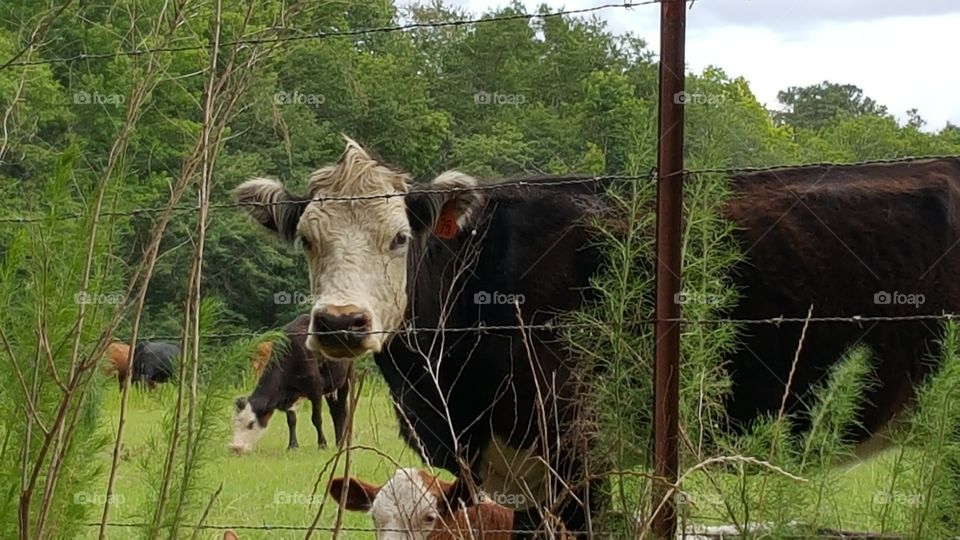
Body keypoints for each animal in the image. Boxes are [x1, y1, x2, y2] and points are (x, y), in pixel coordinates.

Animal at [229, 314, 352, 453]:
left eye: (251, 423)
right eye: (236, 422)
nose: (235, 448)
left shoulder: (315, 390)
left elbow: (316, 419)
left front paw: (322, 444)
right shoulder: (289, 395)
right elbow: (291, 420)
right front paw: (292, 446)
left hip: (345, 378)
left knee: (341, 410)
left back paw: (339, 442)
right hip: (331, 387)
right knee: (334, 411)